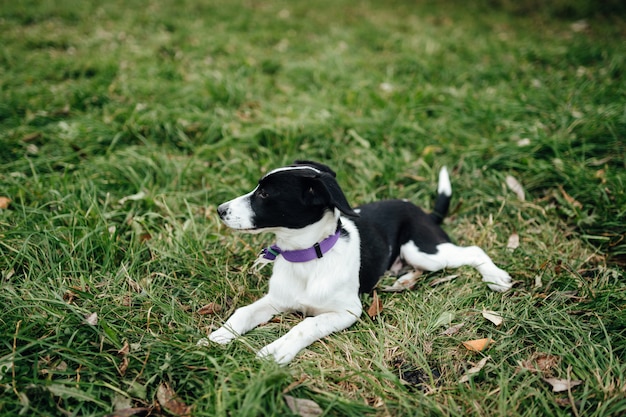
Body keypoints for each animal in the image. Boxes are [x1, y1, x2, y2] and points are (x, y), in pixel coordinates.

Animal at [197, 161, 510, 362]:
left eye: (264, 193)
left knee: (473, 251)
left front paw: (277, 349)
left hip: (423, 250)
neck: (309, 257)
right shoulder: (275, 300)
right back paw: (403, 279)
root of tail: (422, 212)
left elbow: (306, 325)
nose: (220, 210)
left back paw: (495, 277)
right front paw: (216, 338)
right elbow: (242, 313)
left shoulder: (347, 311)